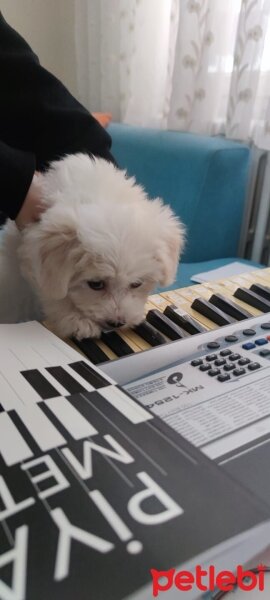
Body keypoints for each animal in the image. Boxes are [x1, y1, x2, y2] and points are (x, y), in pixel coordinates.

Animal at [0, 155, 185, 340]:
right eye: (96, 284)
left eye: (136, 284)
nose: (117, 323)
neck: (102, 196)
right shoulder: (32, 256)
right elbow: (53, 293)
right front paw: (77, 321)